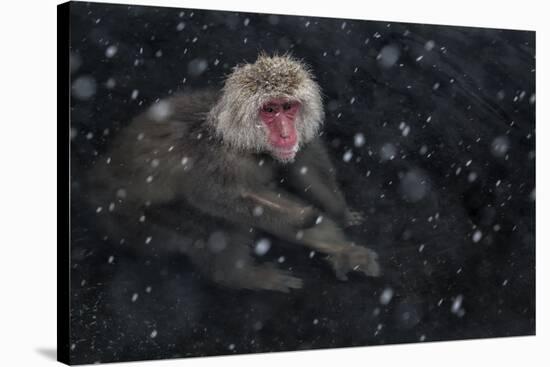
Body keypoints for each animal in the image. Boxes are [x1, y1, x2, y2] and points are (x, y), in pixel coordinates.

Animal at [89, 53, 384, 294]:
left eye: (288, 107)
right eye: (269, 110)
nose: (286, 134)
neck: (245, 142)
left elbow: (307, 167)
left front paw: (339, 216)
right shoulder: (215, 159)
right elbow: (212, 197)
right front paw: (303, 218)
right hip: (137, 218)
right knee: (217, 225)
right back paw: (242, 277)